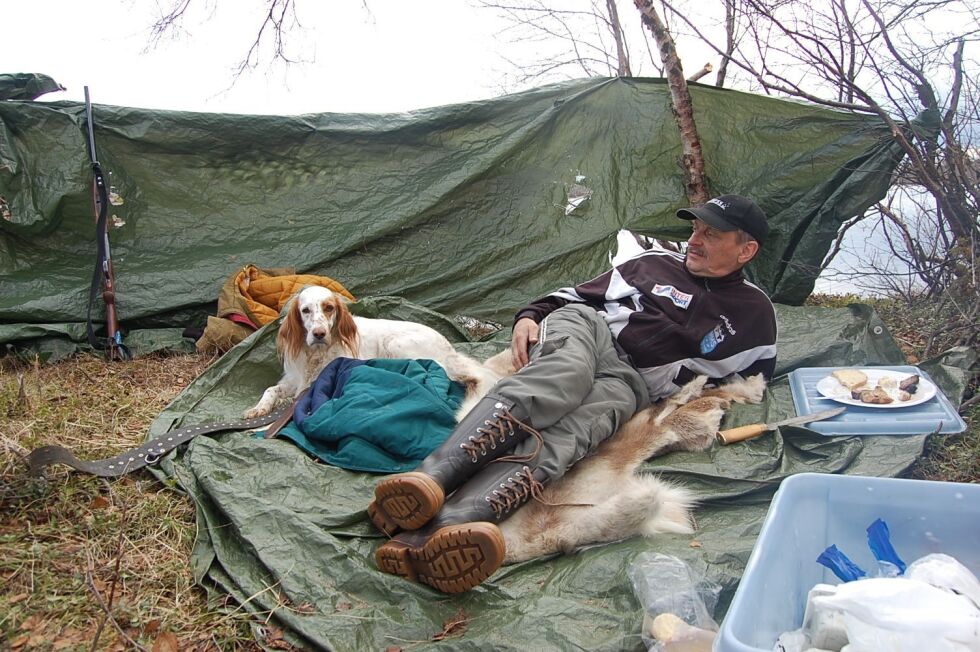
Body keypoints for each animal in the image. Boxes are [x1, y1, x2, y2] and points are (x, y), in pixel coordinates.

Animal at [242, 286, 502, 420]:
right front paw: (259, 408)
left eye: (329, 308)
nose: (319, 333)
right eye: (305, 310)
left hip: (396, 344)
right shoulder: (293, 379)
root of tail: (448, 347)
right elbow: (271, 389)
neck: (316, 354)